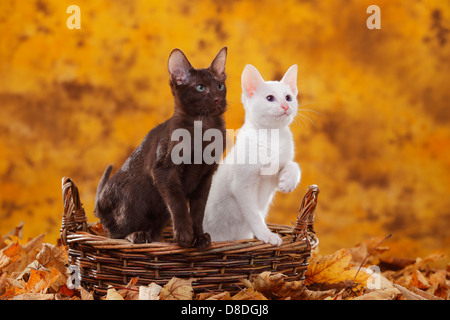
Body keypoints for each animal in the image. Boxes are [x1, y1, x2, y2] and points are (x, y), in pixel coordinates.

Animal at [96, 47, 229, 249]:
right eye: (200, 87)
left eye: (220, 86)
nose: (218, 99)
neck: (203, 129)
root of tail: (100, 203)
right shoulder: (164, 171)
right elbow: (178, 203)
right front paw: (184, 235)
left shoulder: (206, 176)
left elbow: (198, 211)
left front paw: (199, 237)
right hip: (130, 197)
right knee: (115, 233)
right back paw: (137, 235)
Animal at [204, 63, 302, 246]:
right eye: (270, 98)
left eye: (288, 97)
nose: (286, 107)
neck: (272, 136)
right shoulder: (242, 185)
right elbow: (254, 214)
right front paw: (266, 235)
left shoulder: (274, 175)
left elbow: (293, 165)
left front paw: (288, 181)